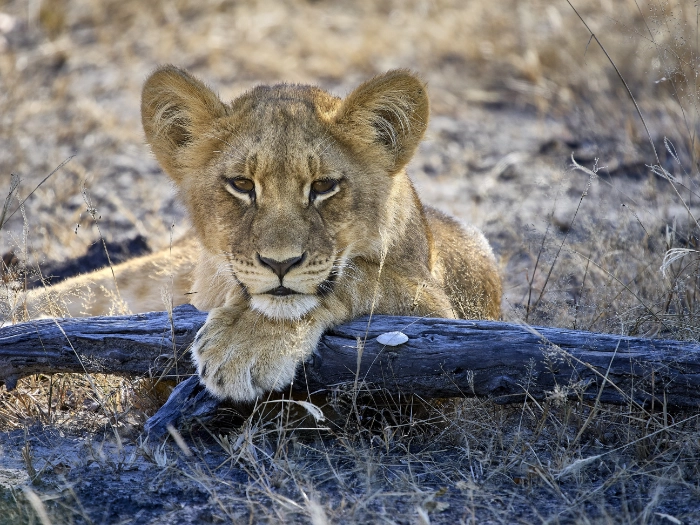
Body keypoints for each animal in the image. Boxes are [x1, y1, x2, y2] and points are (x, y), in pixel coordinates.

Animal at [17, 67, 501, 402]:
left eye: (323, 186)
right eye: (242, 185)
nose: (280, 264)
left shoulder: (441, 318)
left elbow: (358, 275)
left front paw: (244, 344)